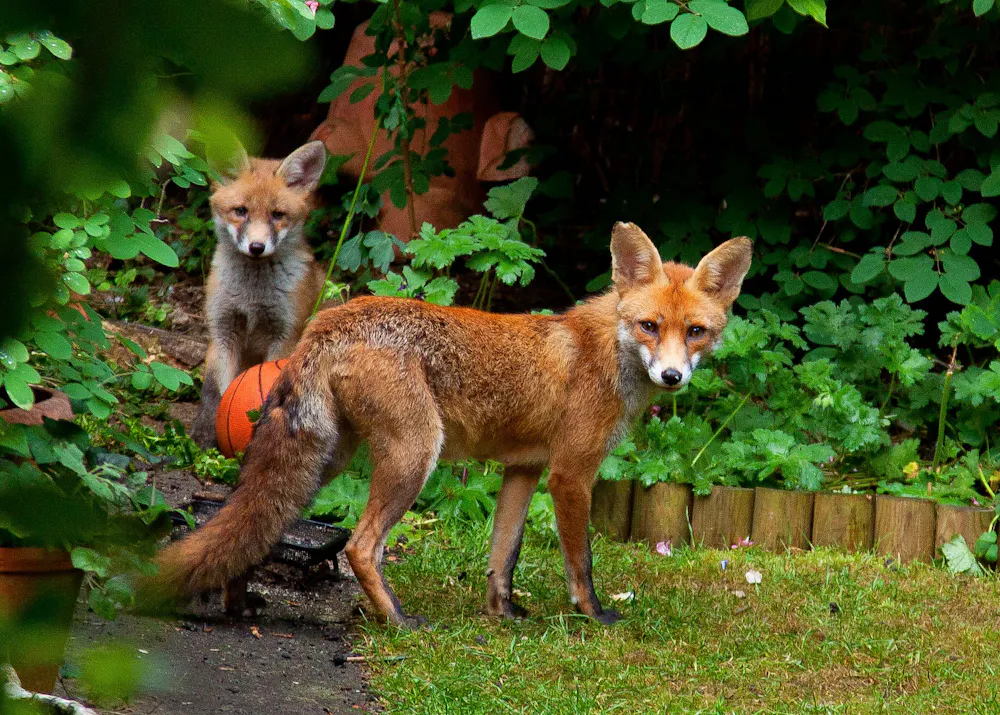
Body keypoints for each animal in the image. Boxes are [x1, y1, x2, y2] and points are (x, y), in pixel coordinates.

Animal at [147, 223, 753, 628]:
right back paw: (399, 621)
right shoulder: (570, 475)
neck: (606, 352)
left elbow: (503, 557)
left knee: (252, 524)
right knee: (361, 546)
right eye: (649, 326)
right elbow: (580, 561)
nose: (673, 376)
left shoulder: (523, 469)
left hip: (325, 459)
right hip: (416, 453)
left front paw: (503, 616)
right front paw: (595, 616)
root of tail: (327, 321)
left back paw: (236, 603)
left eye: (695, 332)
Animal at [190, 140, 329, 449]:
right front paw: (203, 438)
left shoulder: (285, 334)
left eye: (277, 215)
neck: (252, 298)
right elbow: (213, 393)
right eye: (241, 211)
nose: (256, 247)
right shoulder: (223, 330)